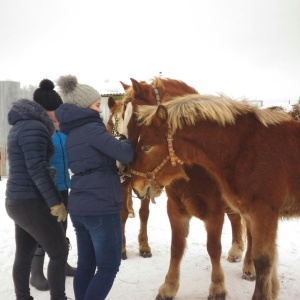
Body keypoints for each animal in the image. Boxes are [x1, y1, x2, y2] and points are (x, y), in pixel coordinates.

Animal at [112, 78, 246, 300]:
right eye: (122, 116)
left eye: (138, 120)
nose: (121, 166)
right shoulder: (175, 209)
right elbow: (176, 247)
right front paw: (169, 287)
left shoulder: (214, 213)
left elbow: (213, 248)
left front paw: (217, 287)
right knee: (236, 220)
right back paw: (236, 250)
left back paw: (249, 266)